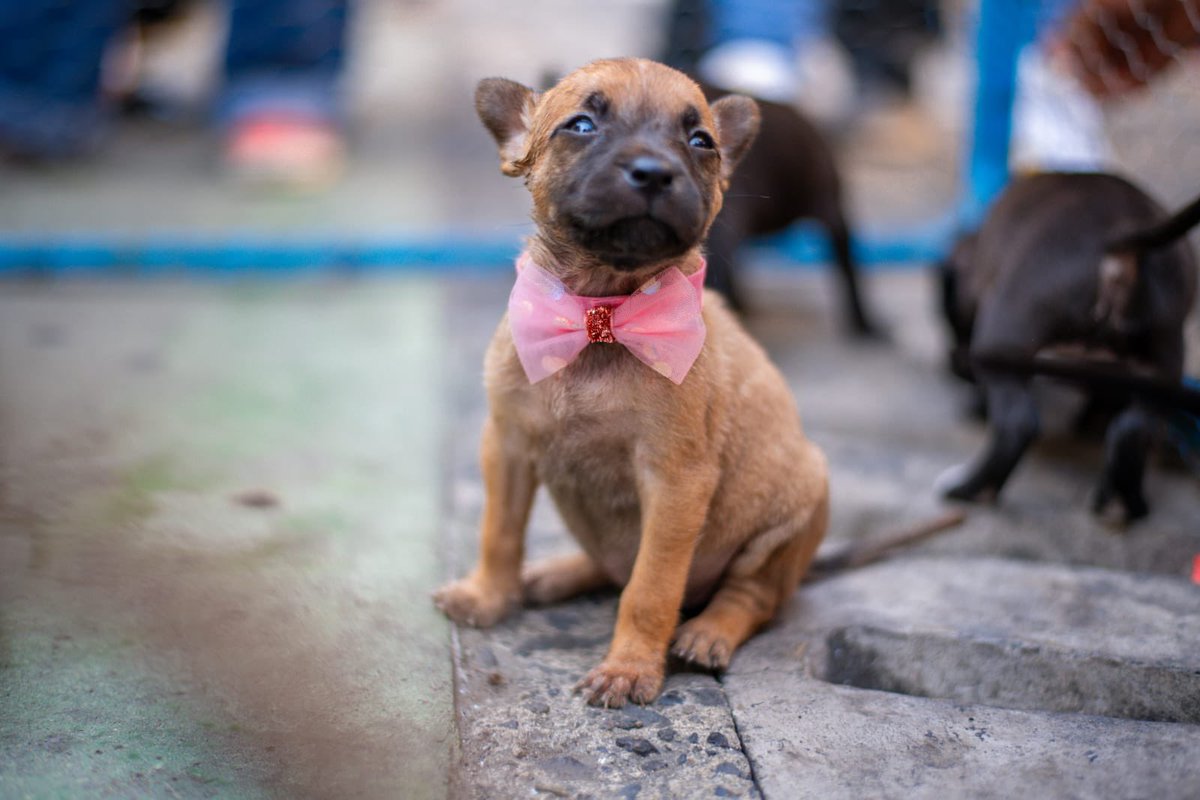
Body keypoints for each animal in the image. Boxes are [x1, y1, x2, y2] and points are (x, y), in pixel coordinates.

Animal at [436, 61, 830, 705]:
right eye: (581, 125)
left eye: (701, 142)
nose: (654, 172)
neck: (601, 315)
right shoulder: (509, 447)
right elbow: (499, 530)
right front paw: (488, 594)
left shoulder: (673, 484)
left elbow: (649, 588)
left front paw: (630, 667)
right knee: (610, 565)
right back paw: (554, 573)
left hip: (787, 522)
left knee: (749, 597)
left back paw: (708, 632)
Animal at [936, 172, 1200, 522]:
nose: (953, 367)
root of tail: (1120, 246)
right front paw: (1091, 423)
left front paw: (975, 407)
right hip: (1162, 366)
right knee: (1133, 429)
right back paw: (1126, 504)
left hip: (1001, 340)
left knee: (1017, 424)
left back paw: (968, 489)